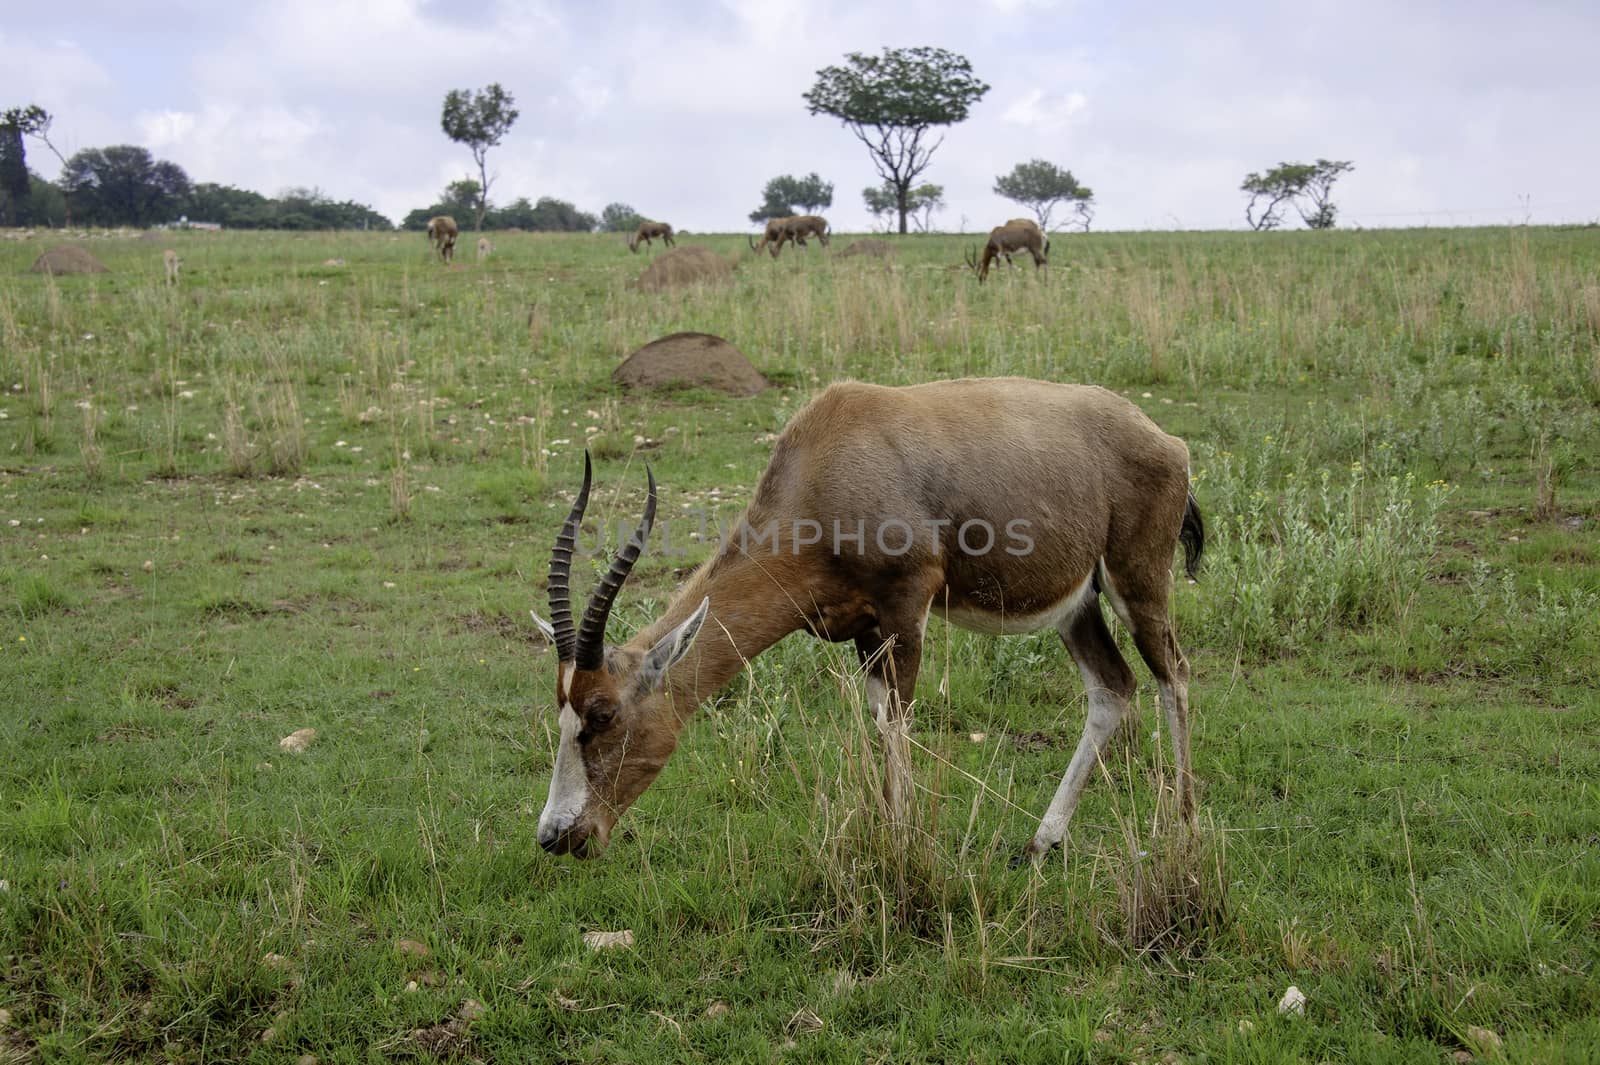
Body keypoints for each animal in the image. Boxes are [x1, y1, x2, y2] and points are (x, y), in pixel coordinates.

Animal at [531, 377, 1203, 857]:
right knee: (1113, 688)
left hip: (1137, 583)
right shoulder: (862, 631)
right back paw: (1041, 843)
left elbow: (898, 720)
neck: (832, 451)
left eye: (603, 715)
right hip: (1077, 605)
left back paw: (1183, 829)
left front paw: (903, 848)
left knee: (1174, 674)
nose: (557, 837)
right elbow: (880, 720)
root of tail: (1166, 442)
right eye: (561, 712)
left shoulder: (907, 604)